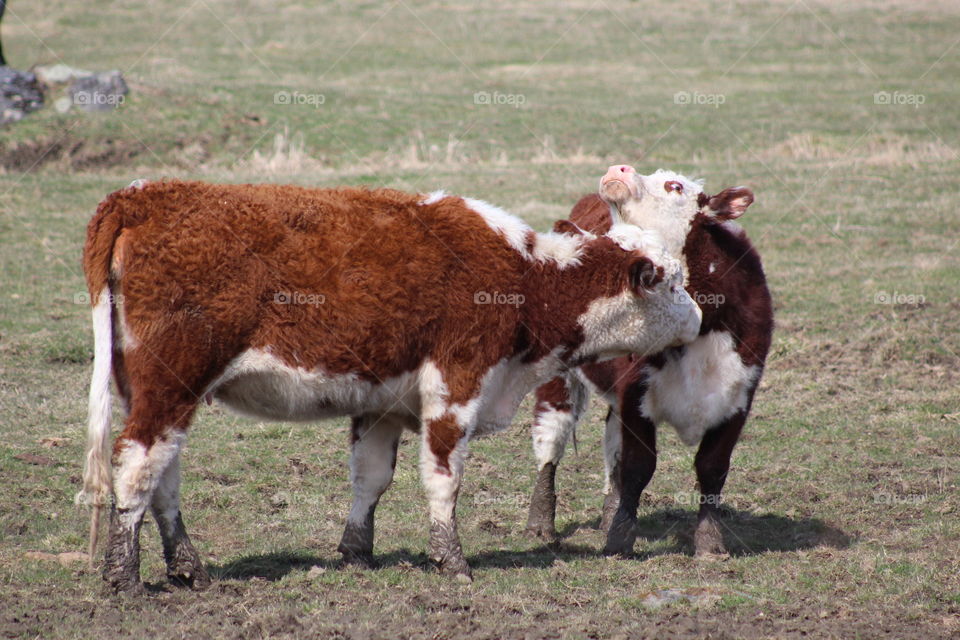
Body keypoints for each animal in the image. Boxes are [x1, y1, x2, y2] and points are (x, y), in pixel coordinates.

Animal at [75, 179, 700, 592]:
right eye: (672, 282)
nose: (698, 318)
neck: (524, 279)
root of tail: (143, 194)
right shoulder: (455, 389)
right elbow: (444, 480)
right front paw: (452, 561)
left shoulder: (380, 404)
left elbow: (370, 479)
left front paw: (356, 552)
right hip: (170, 387)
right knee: (136, 468)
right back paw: (124, 577)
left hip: (157, 392)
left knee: (163, 477)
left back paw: (189, 567)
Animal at [524, 165, 772, 556]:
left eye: (675, 185)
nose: (619, 169)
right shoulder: (635, 395)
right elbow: (639, 467)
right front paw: (620, 540)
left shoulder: (738, 397)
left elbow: (712, 468)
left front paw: (709, 543)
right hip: (558, 381)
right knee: (550, 440)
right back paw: (540, 525)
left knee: (611, 446)